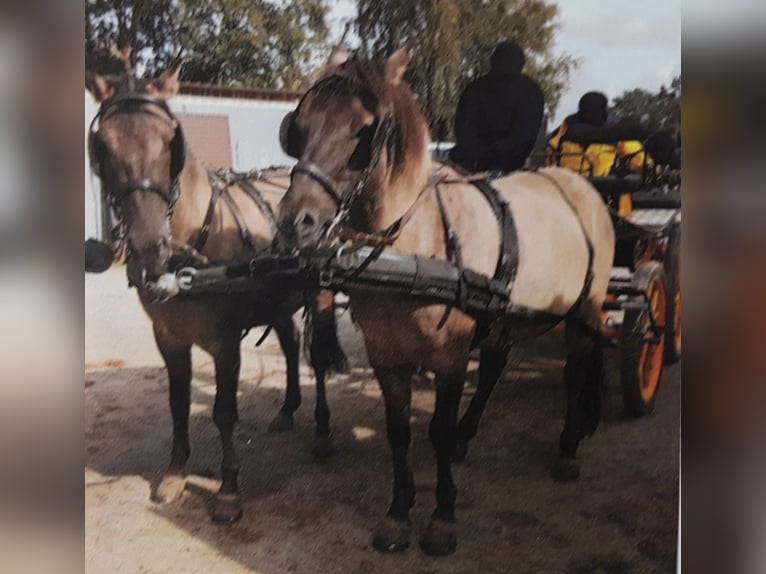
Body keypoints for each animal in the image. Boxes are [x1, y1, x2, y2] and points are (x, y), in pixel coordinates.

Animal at [85, 67, 346, 524]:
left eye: (171, 141)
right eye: (103, 145)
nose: (149, 244)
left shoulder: (225, 343)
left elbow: (224, 411)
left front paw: (227, 491)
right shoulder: (168, 339)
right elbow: (177, 403)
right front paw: (175, 474)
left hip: (319, 293)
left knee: (315, 357)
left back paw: (321, 430)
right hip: (277, 301)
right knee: (290, 343)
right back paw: (287, 410)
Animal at [276, 48, 615, 555]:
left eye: (365, 130)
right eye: (299, 126)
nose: (295, 222)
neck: (412, 248)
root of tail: (582, 187)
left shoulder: (450, 356)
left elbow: (434, 429)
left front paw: (442, 518)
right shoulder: (386, 355)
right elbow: (398, 431)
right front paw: (398, 514)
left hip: (583, 310)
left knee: (576, 371)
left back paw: (568, 449)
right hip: (504, 314)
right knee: (494, 366)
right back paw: (466, 438)